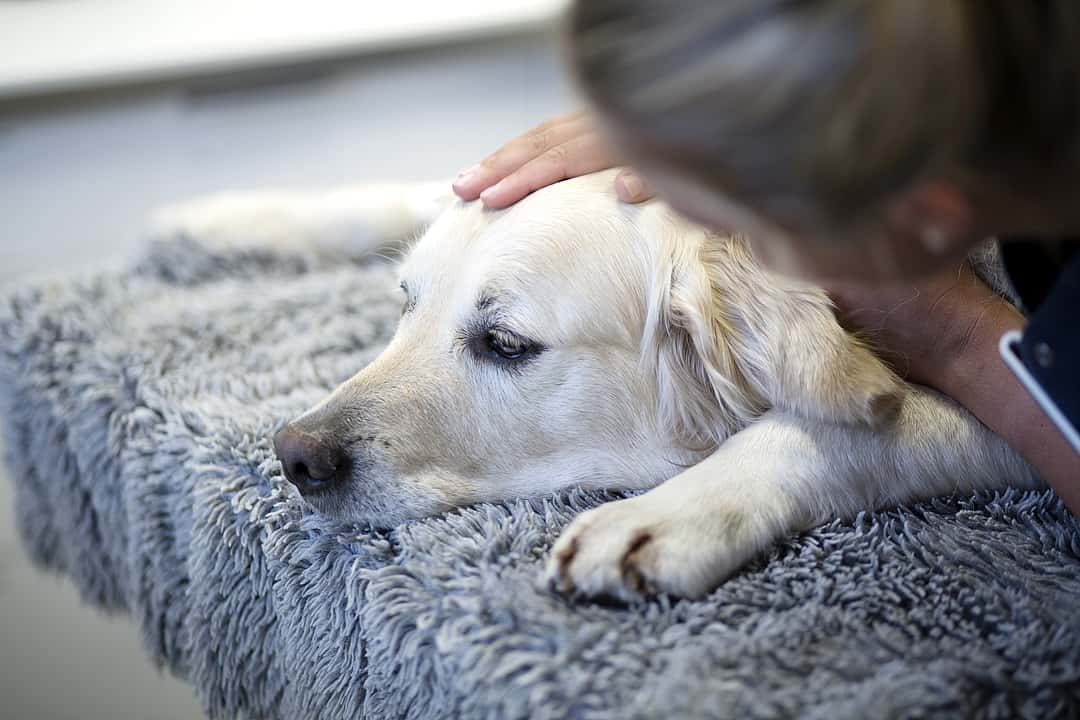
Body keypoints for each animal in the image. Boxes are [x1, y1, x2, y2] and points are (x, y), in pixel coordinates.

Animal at [152, 170, 1036, 604]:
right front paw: (231, 219)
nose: (294, 456)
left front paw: (661, 517)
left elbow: (831, 429)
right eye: (406, 302)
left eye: (506, 343)